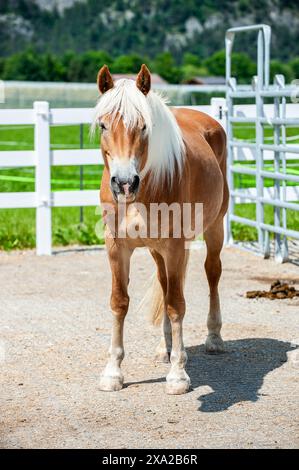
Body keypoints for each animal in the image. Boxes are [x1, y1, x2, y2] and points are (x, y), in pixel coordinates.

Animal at [95, 64, 229, 394]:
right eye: (103, 125)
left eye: (144, 126)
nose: (124, 183)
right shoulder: (117, 247)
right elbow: (120, 302)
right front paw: (113, 372)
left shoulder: (175, 246)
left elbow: (176, 305)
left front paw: (178, 375)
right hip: (158, 251)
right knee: (165, 283)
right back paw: (165, 348)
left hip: (215, 227)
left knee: (212, 273)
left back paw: (214, 338)